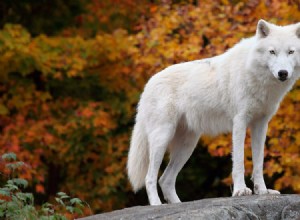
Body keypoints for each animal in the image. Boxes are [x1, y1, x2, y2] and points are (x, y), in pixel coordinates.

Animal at [126, 19, 300, 205]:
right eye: (272, 52)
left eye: (291, 52)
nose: (283, 73)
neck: (256, 75)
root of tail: (148, 84)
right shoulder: (240, 122)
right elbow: (239, 161)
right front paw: (240, 190)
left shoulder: (260, 124)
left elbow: (259, 163)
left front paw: (263, 191)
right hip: (162, 138)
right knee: (150, 178)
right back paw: (157, 205)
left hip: (187, 146)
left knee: (165, 179)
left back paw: (177, 204)